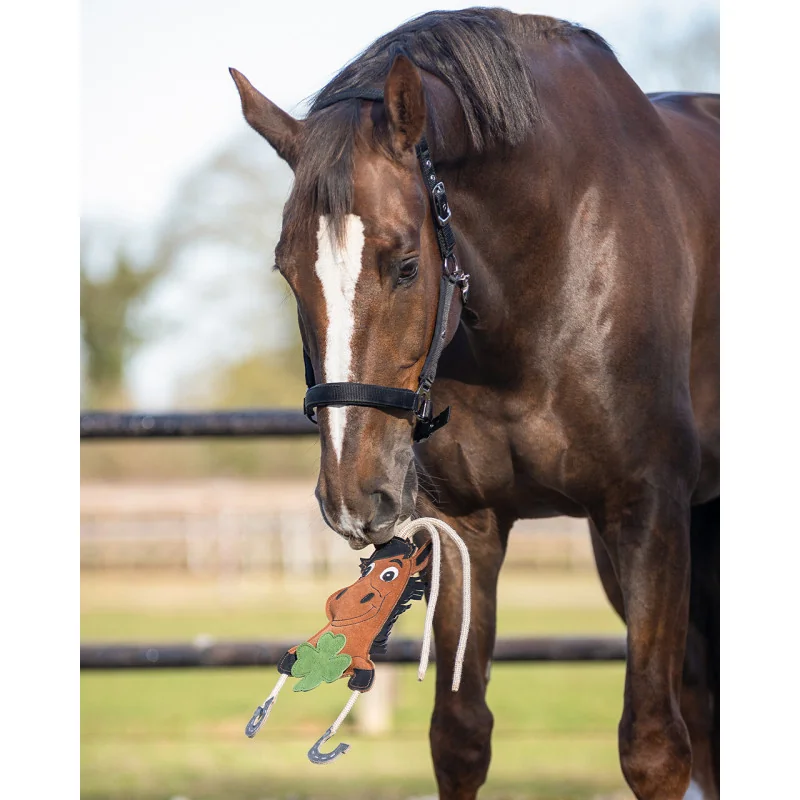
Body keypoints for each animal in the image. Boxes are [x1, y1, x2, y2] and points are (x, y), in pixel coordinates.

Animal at [229, 9, 719, 799]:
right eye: (287, 270)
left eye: (404, 264)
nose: (352, 499)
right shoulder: (465, 526)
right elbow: (459, 737)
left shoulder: (647, 512)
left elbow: (653, 748)